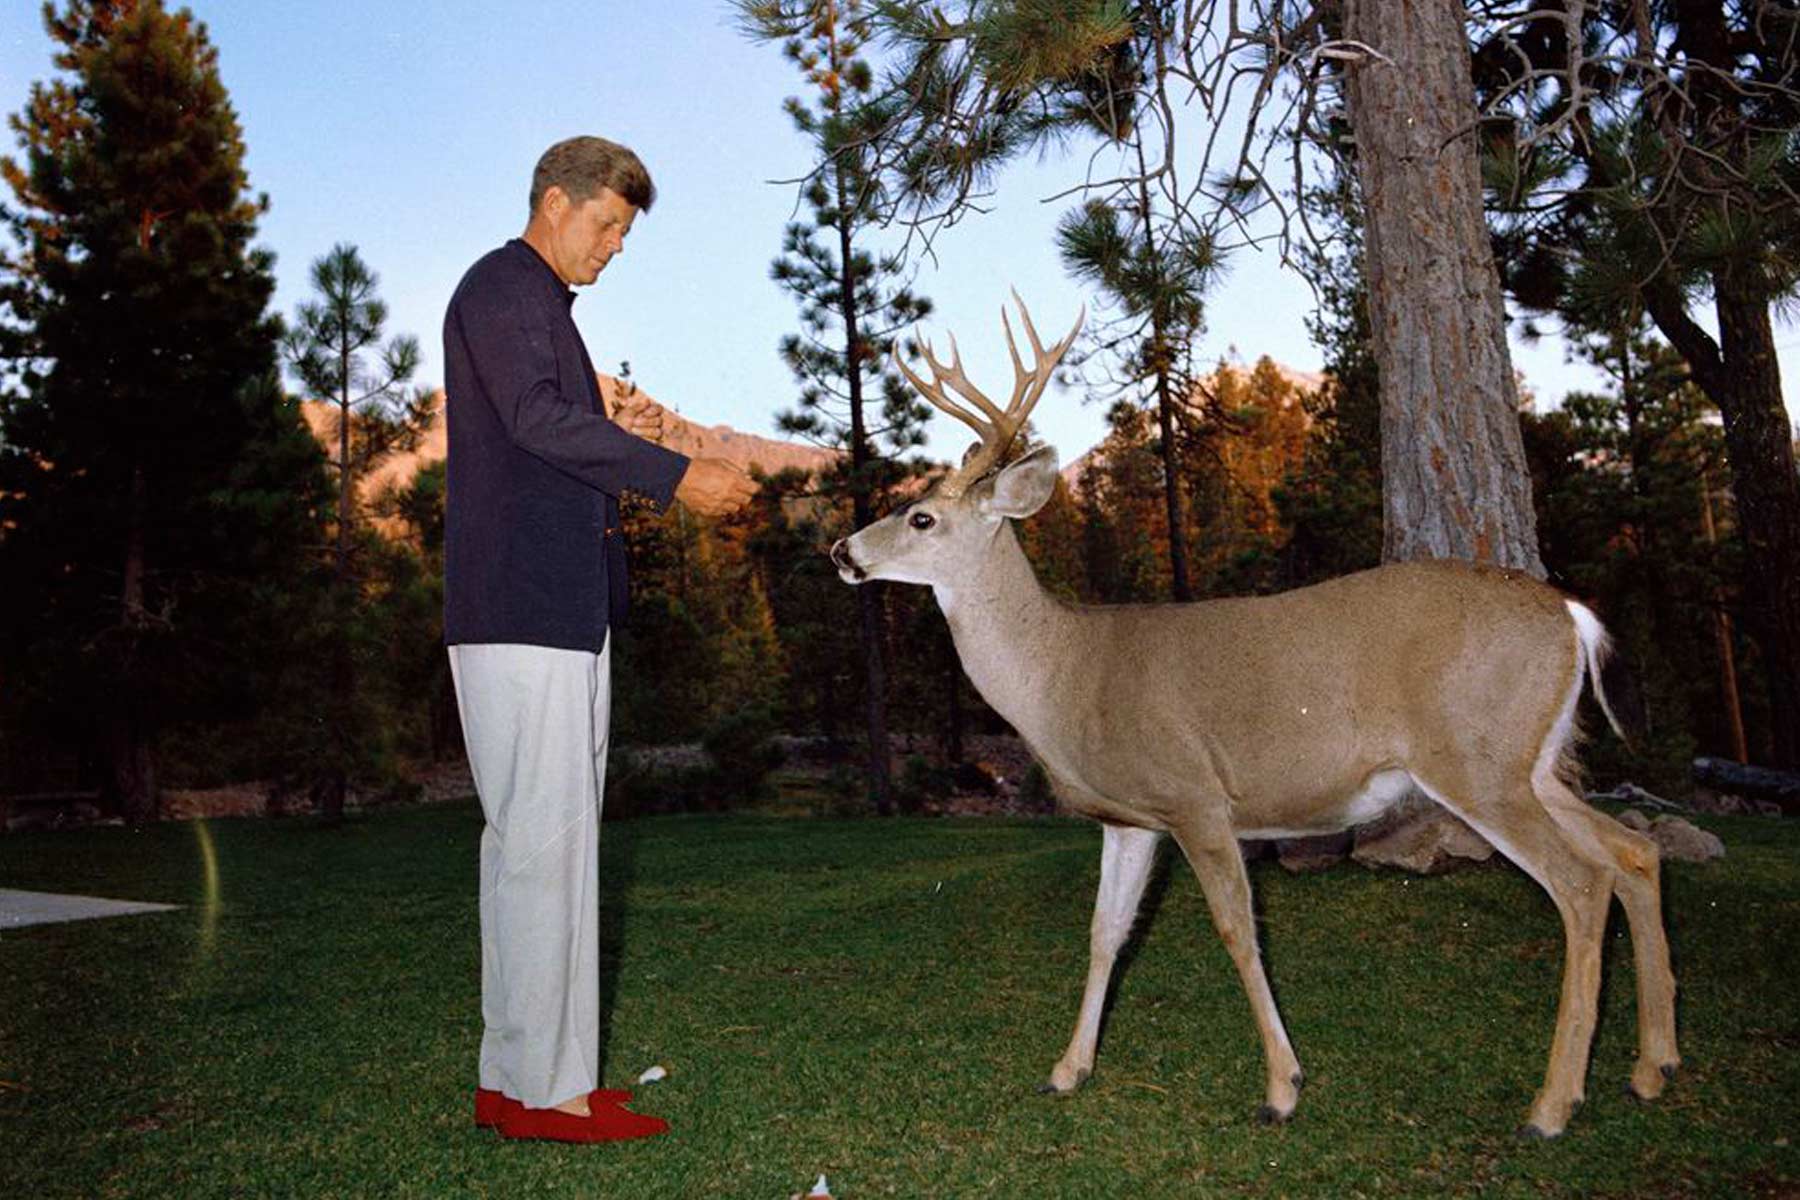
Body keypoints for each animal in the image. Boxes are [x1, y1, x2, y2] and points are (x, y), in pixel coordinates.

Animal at [829, 295, 1679, 1139]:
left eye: (921, 518)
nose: (841, 550)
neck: (1065, 674)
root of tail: (1571, 614)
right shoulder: (1129, 818)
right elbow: (1105, 934)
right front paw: (1068, 1070)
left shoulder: (1195, 796)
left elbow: (1240, 931)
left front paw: (1282, 1085)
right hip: (1529, 761)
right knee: (1634, 852)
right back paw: (1653, 1066)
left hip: (1477, 760)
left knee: (1582, 884)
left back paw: (1553, 1104)